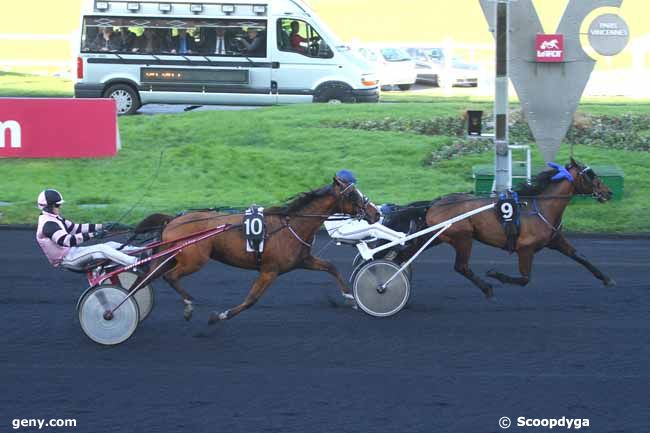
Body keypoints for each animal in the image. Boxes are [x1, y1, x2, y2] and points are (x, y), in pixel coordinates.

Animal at [139, 170, 378, 322]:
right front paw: (219, 316)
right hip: (194, 260)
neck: (291, 224)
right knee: (170, 276)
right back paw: (188, 305)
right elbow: (251, 299)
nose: (376, 212)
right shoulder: (269, 270)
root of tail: (173, 220)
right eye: (353, 194)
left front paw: (350, 297)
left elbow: (331, 266)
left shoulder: (303, 260)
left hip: (169, 256)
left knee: (147, 277)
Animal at [410, 159, 612, 296]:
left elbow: (580, 256)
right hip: (463, 237)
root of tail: (435, 204)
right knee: (461, 266)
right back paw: (487, 287)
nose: (608, 192)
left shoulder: (555, 240)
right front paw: (495, 274)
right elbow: (524, 279)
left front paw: (607, 279)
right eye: (591, 175)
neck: (542, 207)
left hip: (439, 236)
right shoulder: (525, 248)